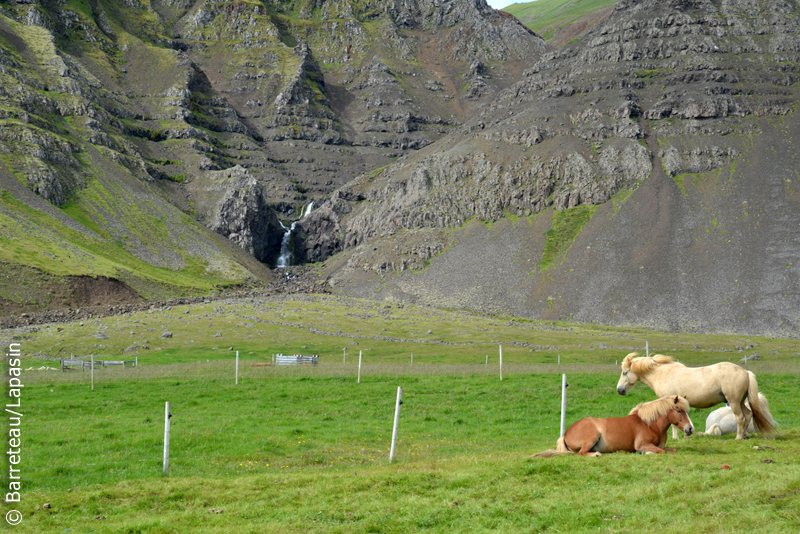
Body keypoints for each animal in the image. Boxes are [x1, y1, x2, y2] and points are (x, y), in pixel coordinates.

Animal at [532, 396, 692, 458]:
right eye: (679, 410)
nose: (690, 429)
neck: (650, 425)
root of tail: (565, 434)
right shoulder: (643, 445)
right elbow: (659, 451)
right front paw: (644, 453)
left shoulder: (662, 446)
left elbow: (671, 450)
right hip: (591, 437)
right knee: (582, 453)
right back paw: (597, 454)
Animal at [620, 354, 776, 442]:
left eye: (625, 372)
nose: (619, 390)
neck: (663, 373)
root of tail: (745, 371)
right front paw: (686, 436)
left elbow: (673, 423)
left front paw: (676, 438)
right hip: (741, 401)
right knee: (748, 414)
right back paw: (744, 435)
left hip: (733, 402)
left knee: (739, 417)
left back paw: (738, 437)